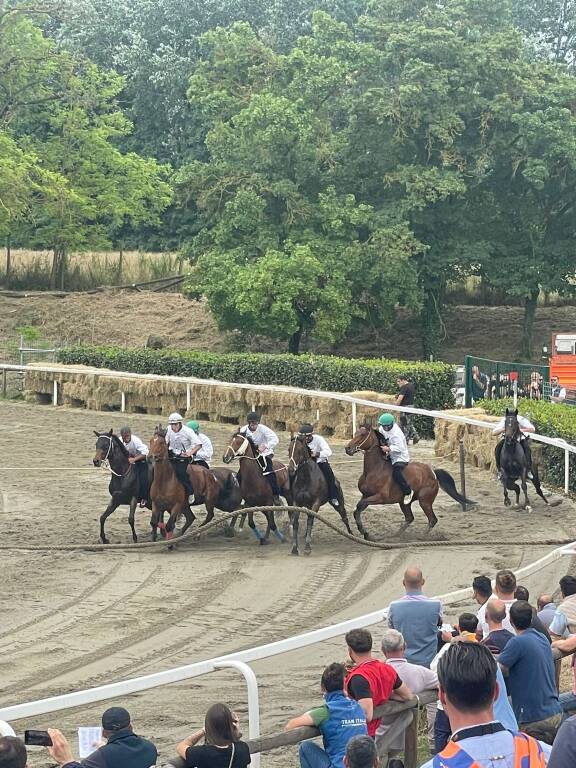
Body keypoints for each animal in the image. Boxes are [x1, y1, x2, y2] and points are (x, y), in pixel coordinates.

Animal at [342, 426, 472, 540]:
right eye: (355, 433)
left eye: (363, 435)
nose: (347, 448)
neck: (374, 470)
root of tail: (433, 473)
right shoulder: (366, 495)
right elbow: (357, 510)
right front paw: (365, 532)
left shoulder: (380, 497)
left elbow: (359, 506)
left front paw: (365, 532)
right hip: (404, 503)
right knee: (410, 518)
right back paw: (394, 536)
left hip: (424, 501)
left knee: (432, 520)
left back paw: (421, 538)